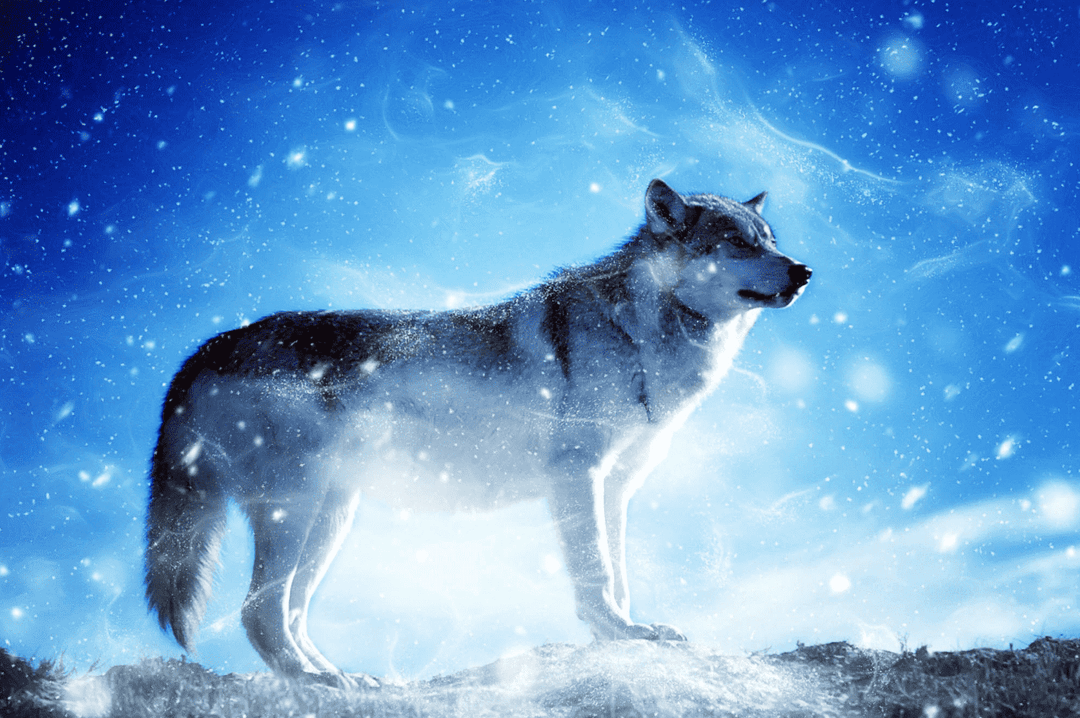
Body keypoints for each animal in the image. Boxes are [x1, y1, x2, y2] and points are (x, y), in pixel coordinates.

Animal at [144, 179, 811, 687]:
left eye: (770, 241)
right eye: (737, 243)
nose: (804, 271)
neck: (639, 332)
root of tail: (204, 350)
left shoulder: (617, 487)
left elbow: (619, 573)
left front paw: (629, 633)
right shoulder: (578, 476)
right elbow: (595, 572)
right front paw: (617, 633)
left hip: (331, 518)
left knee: (291, 612)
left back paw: (343, 678)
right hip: (296, 511)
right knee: (258, 612)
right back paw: (313, 682)